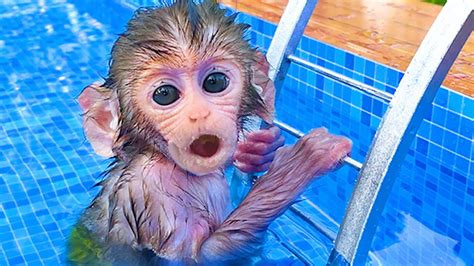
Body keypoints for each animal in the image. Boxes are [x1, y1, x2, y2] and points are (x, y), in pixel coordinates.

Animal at [70, 1, 352, 264]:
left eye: (215, 82)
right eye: (165, 94)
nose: (200, 114)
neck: (165, 160)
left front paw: (258, 150)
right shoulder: (155, 199)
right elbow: (200, 258)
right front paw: (298, 164)